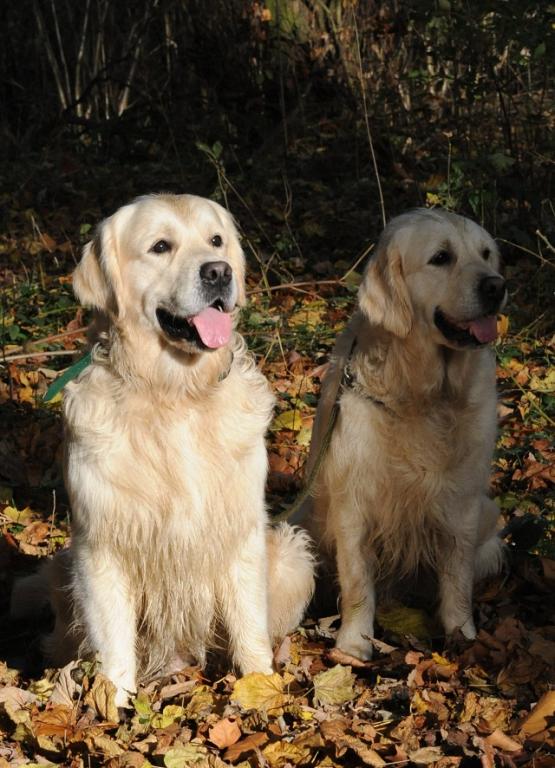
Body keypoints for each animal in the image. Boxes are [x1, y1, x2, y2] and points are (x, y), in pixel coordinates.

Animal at [19, 195, 314, 704]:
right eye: (160, 246)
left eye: (216, 240)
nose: (219, 272)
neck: (174, 394)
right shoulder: (102, 544)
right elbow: (114, 643)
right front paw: (112, 707)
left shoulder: (241, 531)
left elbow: (249, 626)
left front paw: (260, 688)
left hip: (292, 555)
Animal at [304, 210, 508, 660]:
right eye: (441, 257)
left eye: (486, 254)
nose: (497, 286)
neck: (423, 395)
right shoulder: (352, 502)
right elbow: (358, 581)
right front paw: (354, 642)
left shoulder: (462, 504)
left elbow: (457, 580)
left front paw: (462, 635)